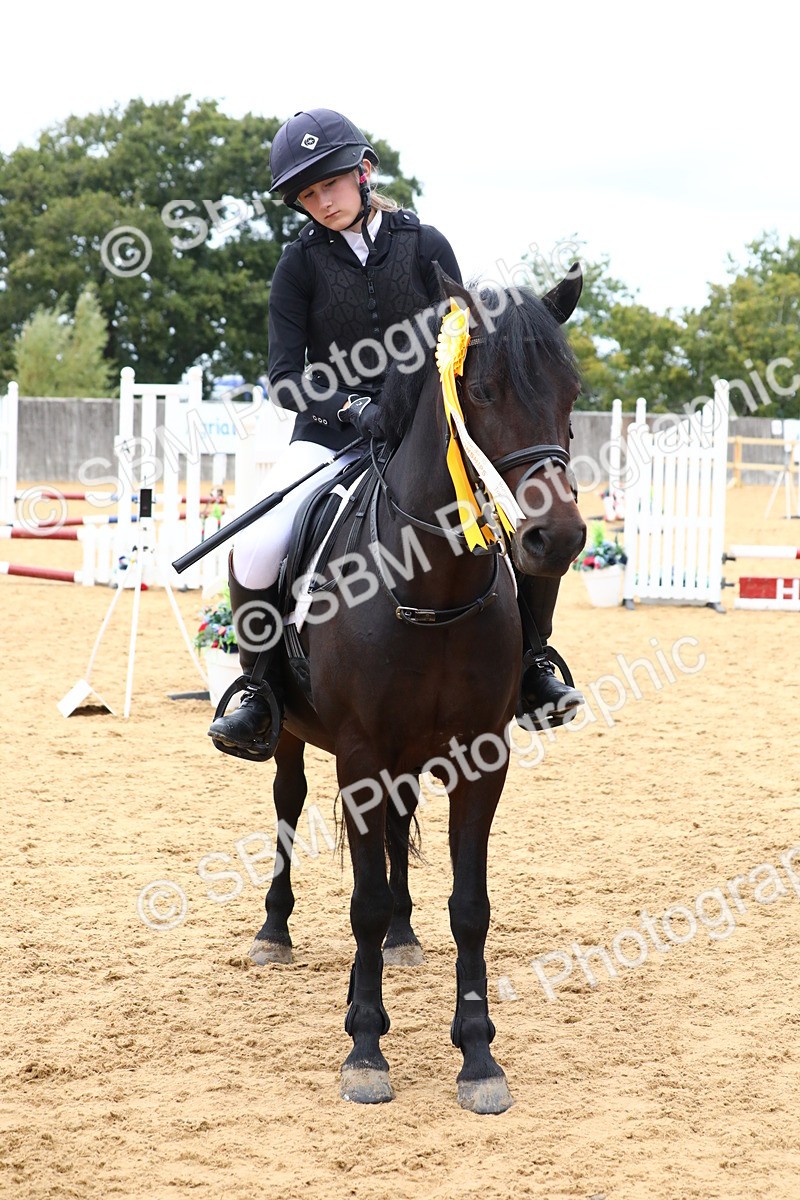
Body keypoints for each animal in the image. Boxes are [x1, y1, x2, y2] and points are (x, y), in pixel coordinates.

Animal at [248, 265, 586, 1114]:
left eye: (571, 390)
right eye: (484, 390)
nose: (557, 538)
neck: (431, 582)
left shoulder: (480, 757)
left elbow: (470, 905)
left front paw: (479, 1056)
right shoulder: (360, 755)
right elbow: (362, 899)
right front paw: (366, 1048)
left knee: (398, 837)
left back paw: (402, 939)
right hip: (298, 739)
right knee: (288, 806)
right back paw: (274, 932)